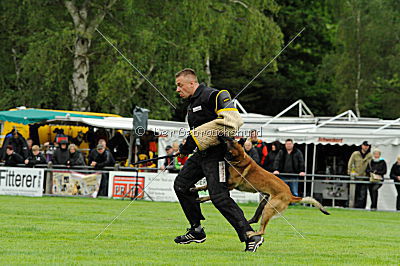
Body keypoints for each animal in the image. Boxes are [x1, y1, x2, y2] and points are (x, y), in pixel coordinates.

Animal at [192, 137, 330, 237]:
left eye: (229, 140)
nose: (221, 135)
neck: (239, 159)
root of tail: (291, 195)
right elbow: (206, 185)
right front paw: (196, 189)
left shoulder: (229, 186)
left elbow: (211, 194)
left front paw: (201, 198)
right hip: (264, 203)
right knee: (254, 219)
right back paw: (245, 225)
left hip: (268, 208)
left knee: (262, 230)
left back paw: (252, 233)